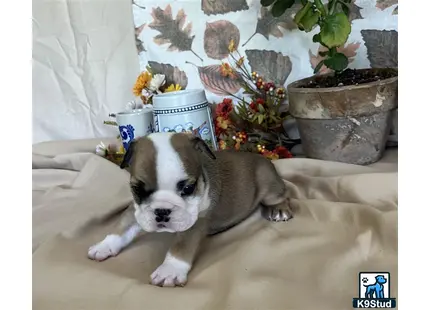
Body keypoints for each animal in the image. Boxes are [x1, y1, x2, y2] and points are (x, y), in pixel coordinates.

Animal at [89, 132, 294, 286]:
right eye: (137, 189)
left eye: (188, 188)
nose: (162, 211)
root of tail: (261, 157)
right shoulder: (136, 209)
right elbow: (122, 226)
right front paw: (105, 245)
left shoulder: (195, 221)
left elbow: (182, 244)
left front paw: (170, 269)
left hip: (268, 185)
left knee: (282, 195)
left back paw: (279, 210)